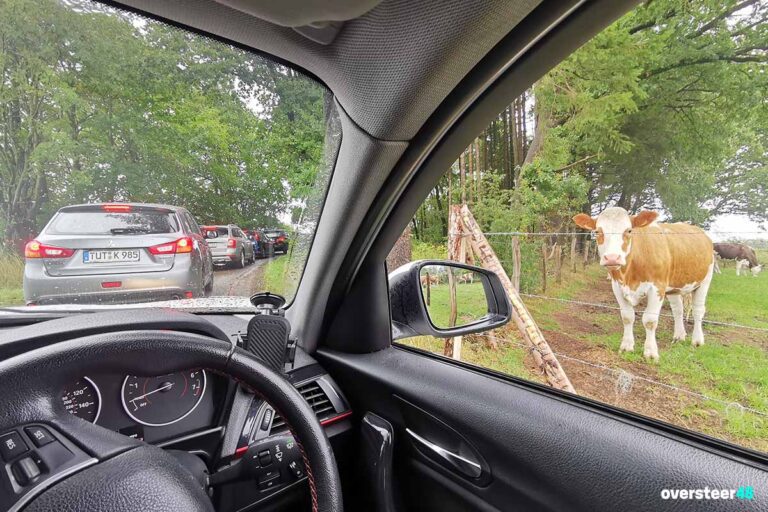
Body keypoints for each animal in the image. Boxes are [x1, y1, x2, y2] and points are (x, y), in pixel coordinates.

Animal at [573, 207, 714, 361]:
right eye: (598, 231)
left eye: (629, 230)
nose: (612, 258)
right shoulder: (617, 287)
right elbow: (627, 317)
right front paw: (626, 346)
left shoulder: (657, 287)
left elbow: (650, 320)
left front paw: (651, 353)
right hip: (674, 287)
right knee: (678, 310)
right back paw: (679, 336)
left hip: (705, 280)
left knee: (698, 310)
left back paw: (697, 341)